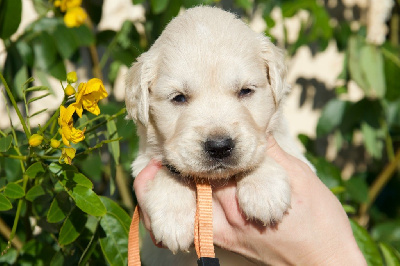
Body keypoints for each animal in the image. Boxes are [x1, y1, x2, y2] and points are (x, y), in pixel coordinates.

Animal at [125, 5, 312, 264]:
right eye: (178, 98)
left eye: (245, 91)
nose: (219, 146)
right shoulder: (144, 160)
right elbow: (170, 171)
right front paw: (173, 218)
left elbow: (261, 152)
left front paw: (264, 190)